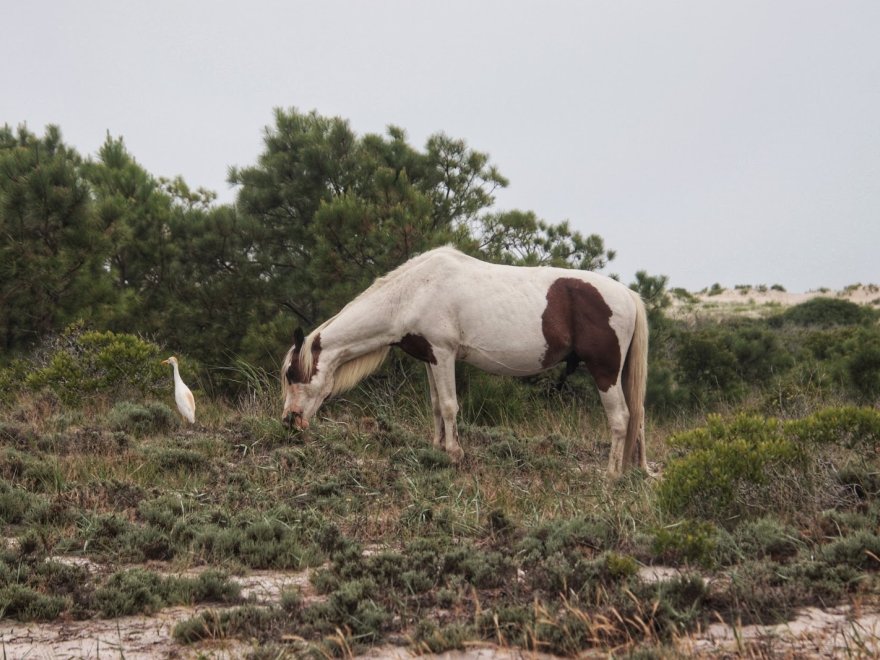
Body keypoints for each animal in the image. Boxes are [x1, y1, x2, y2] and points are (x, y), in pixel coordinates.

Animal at [280, 246, 648, 474]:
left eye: (292, 374)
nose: (289, 422)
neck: (414, 292)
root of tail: (628, 294)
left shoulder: (443, 354)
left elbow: (448, 406)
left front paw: (455, 454)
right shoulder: (430, 358)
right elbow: (434, 405)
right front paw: (438, 448)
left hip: (605, 371)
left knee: (620, 418)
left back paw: (611, 475)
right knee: (638, 416)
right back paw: (637, 470)